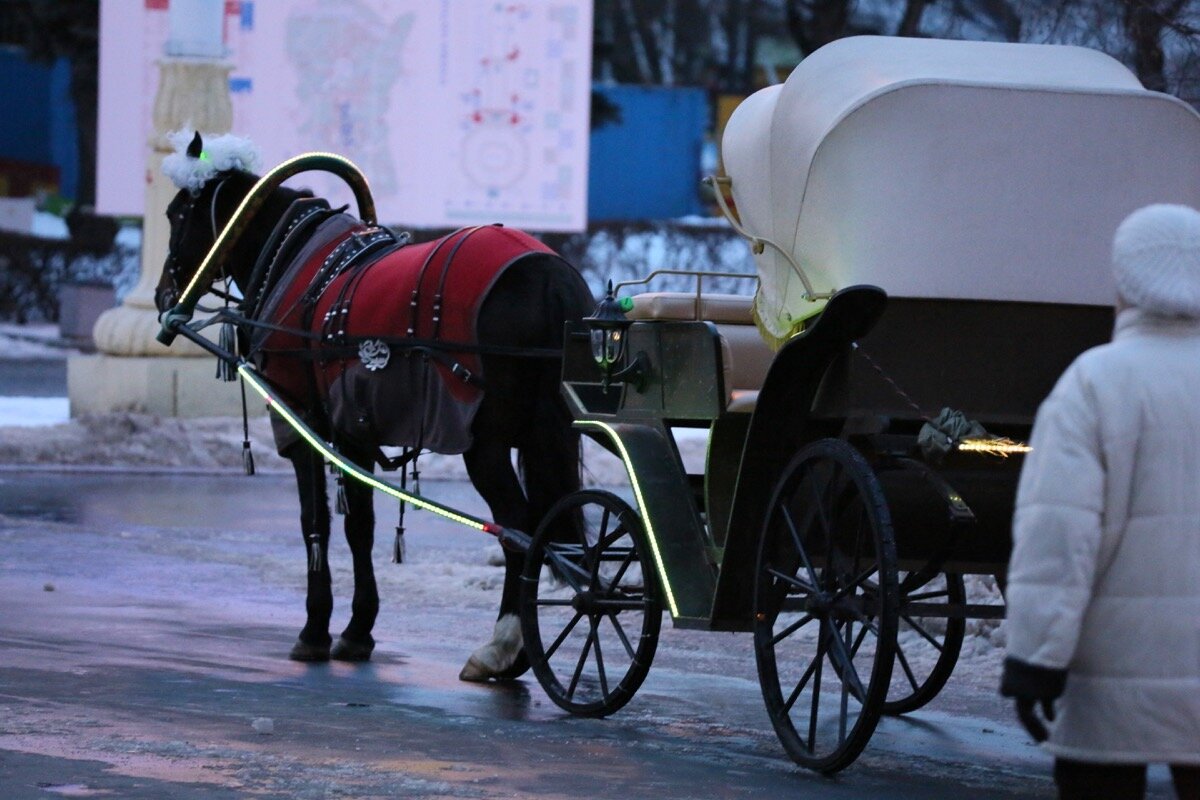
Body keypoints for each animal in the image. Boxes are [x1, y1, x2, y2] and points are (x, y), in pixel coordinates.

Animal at [154, 131, 595, 681]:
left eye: (175, 214)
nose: (162, 295)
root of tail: (549, 275)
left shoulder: (302, 424)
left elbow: (316, 524)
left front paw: (316, 628)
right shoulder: (354, 432)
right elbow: (359, 525)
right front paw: (358, 627)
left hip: (486, 445)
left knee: (519, 528)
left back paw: (502, 643)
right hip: (543, 433)